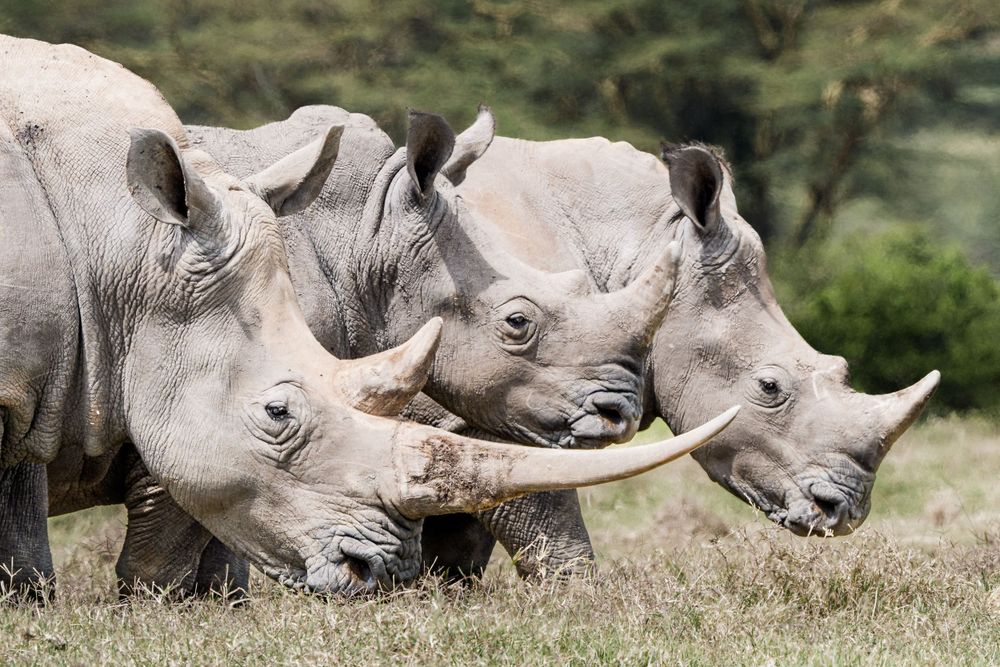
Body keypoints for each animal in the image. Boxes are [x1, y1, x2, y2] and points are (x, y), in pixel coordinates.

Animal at [417, 111, 941, 575]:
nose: (843, 512)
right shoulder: (502, 398)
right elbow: (546, 522)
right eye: (769, 387)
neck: (642, 247)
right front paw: (578, 601)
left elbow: (457, 543)